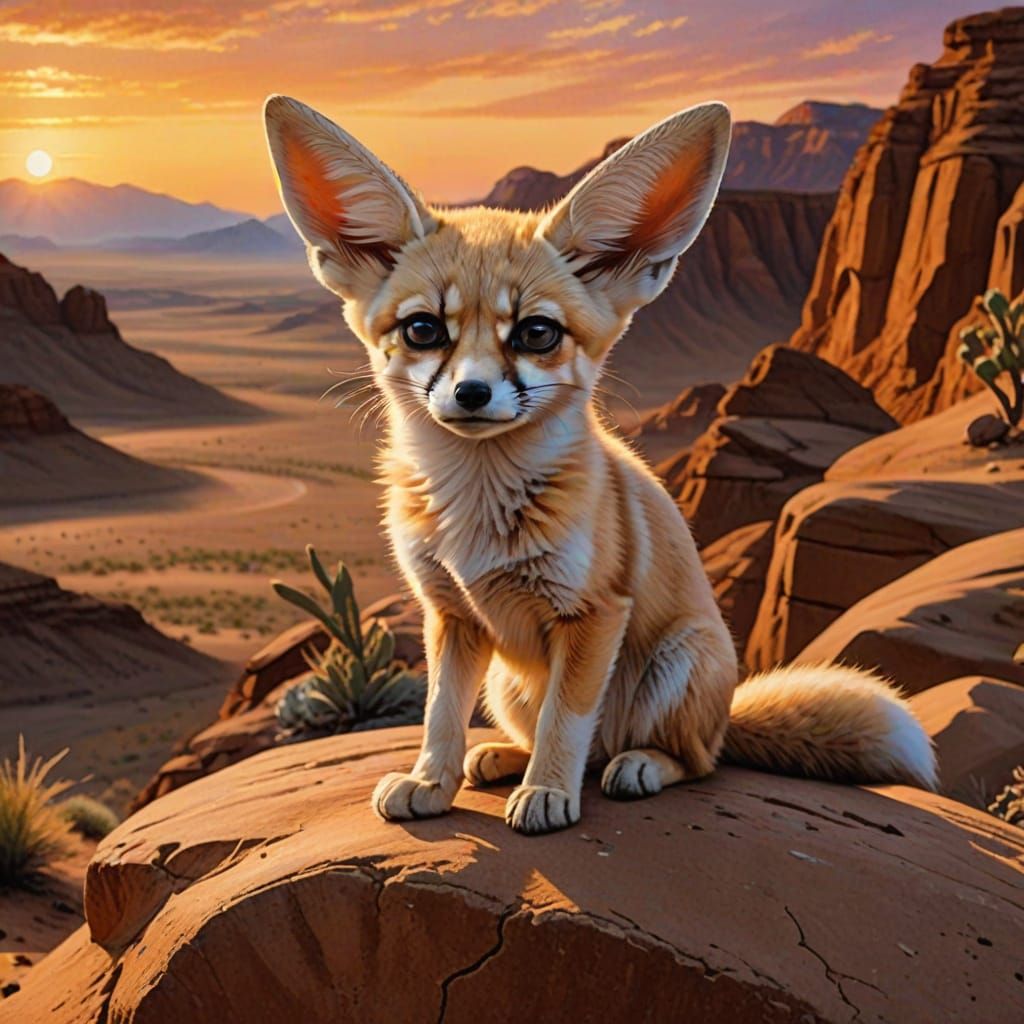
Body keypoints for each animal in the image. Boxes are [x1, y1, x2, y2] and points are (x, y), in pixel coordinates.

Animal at [263, 95, 937, 836]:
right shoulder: (452, 616)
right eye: (422, 329)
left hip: (677, 663)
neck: (479, 513)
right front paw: (430, 782)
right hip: (507, 682)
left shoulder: (594, 613)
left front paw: (546, 794)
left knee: (689, 760)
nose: (471, 393)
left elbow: (566, 721)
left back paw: (636, 766)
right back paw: (501, 758)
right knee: (575, 744)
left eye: (536, 333)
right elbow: (441, 716)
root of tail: (725, 712)